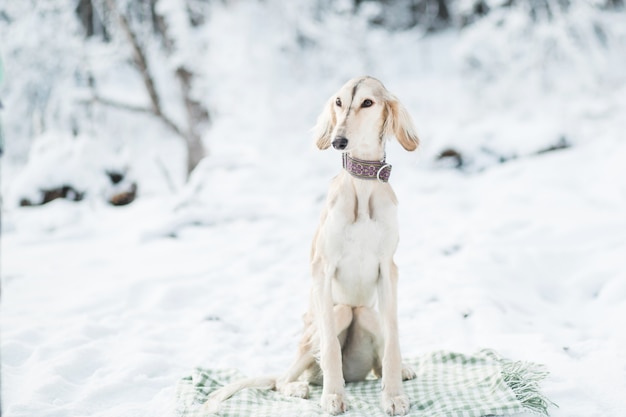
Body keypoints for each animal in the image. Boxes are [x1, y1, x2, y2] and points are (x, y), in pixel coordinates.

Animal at [206, 77, 420, 412]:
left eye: (367, 103)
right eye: (339, 102)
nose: (338, 141)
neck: (362, 189)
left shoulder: (388, 268)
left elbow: (393, 338)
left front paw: (394, 394)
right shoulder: (323, 268)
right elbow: (330, 344)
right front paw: (333, 395)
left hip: (367, 316)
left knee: (375, 356)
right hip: (333, 318)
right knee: (282, 379)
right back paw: (299, 387)